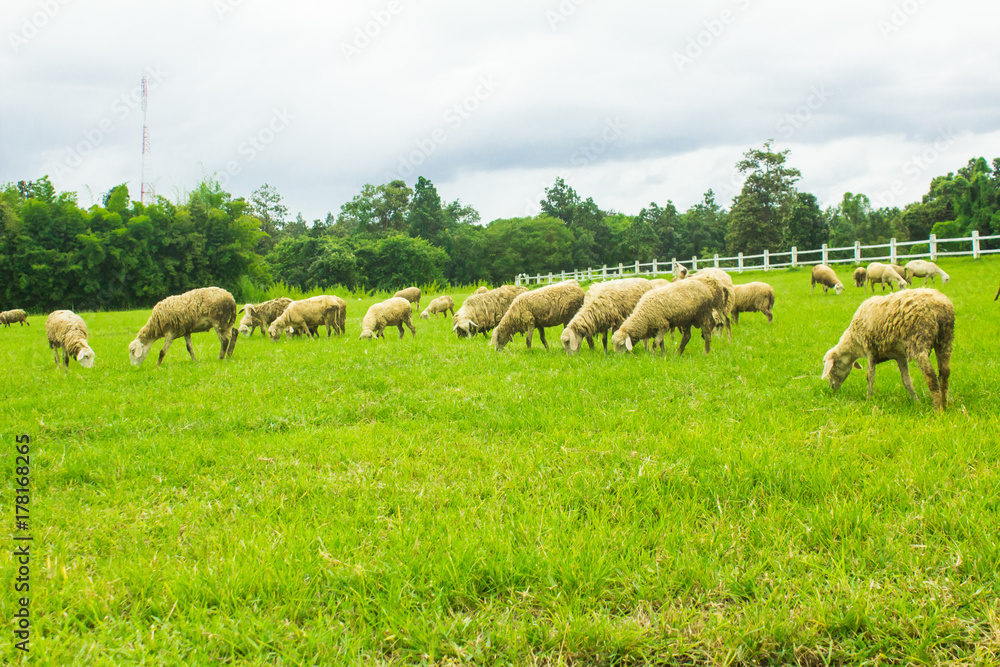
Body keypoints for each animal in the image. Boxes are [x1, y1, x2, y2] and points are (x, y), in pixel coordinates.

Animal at [821, 288, 954, 412]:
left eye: (831, 369)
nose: (832, 388)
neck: (854, 342)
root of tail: (938, 304)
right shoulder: (900, 356)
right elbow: (906, 381)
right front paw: (916, 401)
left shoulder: (870, 350)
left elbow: (870, 376)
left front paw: (869, 399)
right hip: (945, 338)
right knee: (944, 372)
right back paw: (945, 403)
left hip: (918, 340)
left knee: (930, 374)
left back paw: (938, 408)